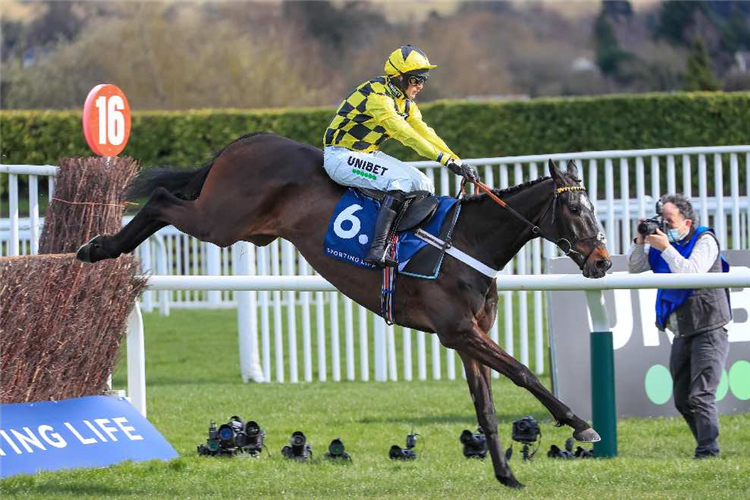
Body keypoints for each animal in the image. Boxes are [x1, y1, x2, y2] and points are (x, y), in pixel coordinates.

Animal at [79, 133, 612, 488]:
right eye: (576, 211)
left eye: (594, 210)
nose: (604, 262)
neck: (466, 241)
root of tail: (249, 139)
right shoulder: (457, 330)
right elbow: (523, 372)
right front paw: (581, 424)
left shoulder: (466, 339)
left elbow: (486, 408)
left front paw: (506, 475)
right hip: (221, 221)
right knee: (161, 199)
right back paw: (99, 248)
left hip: (243, 228)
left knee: (165, 202)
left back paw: (99, 248)